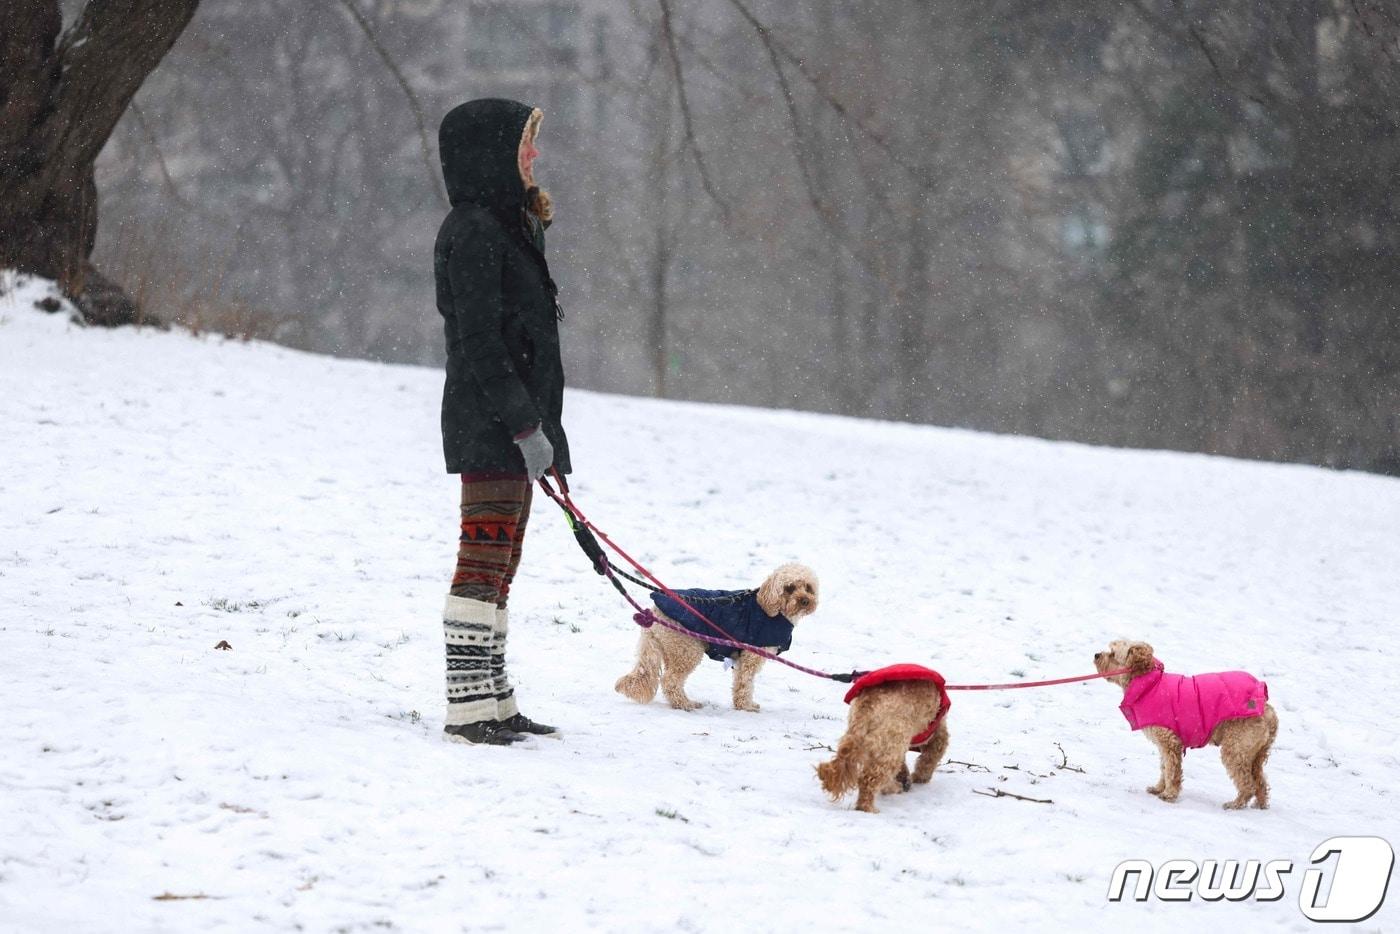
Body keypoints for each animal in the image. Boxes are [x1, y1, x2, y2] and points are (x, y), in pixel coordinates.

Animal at [616, 565, 817, 711]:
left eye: (808, 587)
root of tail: (654, 612)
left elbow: (739, 683)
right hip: (687, 649)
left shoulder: (741, 659)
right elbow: (745, 683)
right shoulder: (751, 657)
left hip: (670, 648)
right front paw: (747, 706)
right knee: (670, 681)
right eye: (789, 587)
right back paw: (685, 704)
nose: (805, 601)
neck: (771, 609)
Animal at [1092, 644, 1282, 812]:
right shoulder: (1165, 745)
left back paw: (1235, 804)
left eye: (1113, 653)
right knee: (1260, 782)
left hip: (1235, 748)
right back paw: (1259, 805)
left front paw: (1169, 794)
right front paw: (1159, 788)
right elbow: (1165, 768)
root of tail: (1267, 709)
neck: (1150, 685)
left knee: (1248, 784)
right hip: (1255, 754)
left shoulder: (1169, 741)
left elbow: (1171, 770)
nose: (1096, 655)